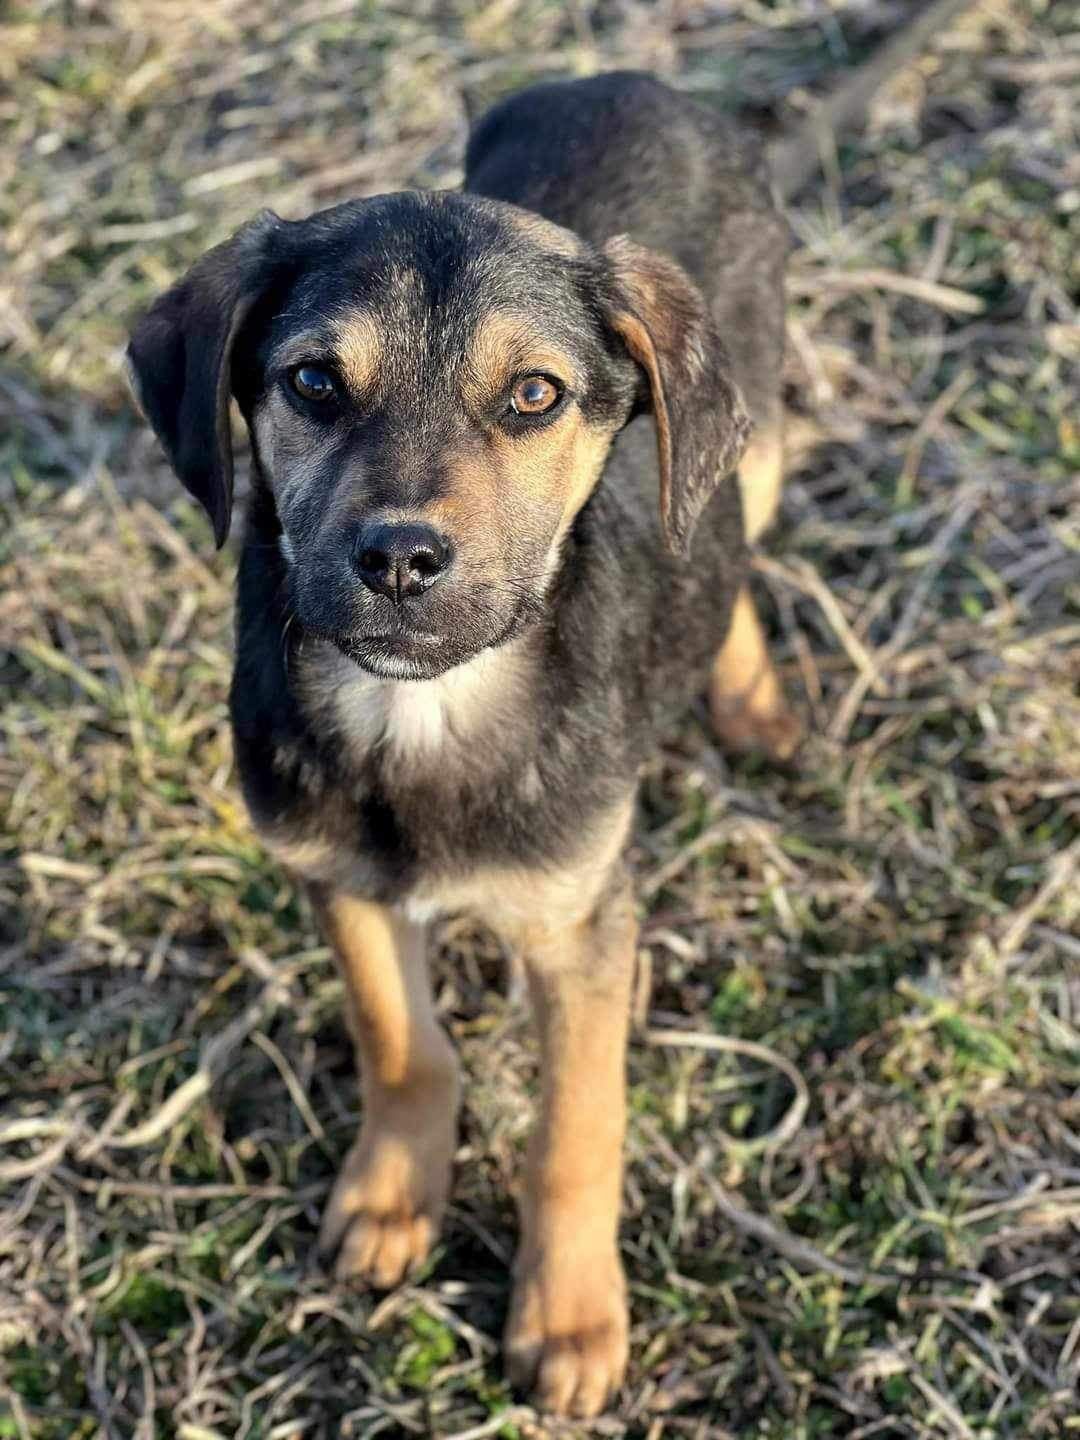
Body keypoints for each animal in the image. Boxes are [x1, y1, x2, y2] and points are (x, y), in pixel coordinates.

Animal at [128, 8, 973, 1416]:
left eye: (533, 396)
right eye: (312, 384)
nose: (399, 559)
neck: (426, 713)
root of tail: (647, 85)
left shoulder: (584, 925)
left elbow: (577, 1131)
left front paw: (571, 1320)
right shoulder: (337, 876)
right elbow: (402, 1044)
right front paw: (393, 1201)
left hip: (744, 421)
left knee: (726, 530)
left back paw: (750, 705)